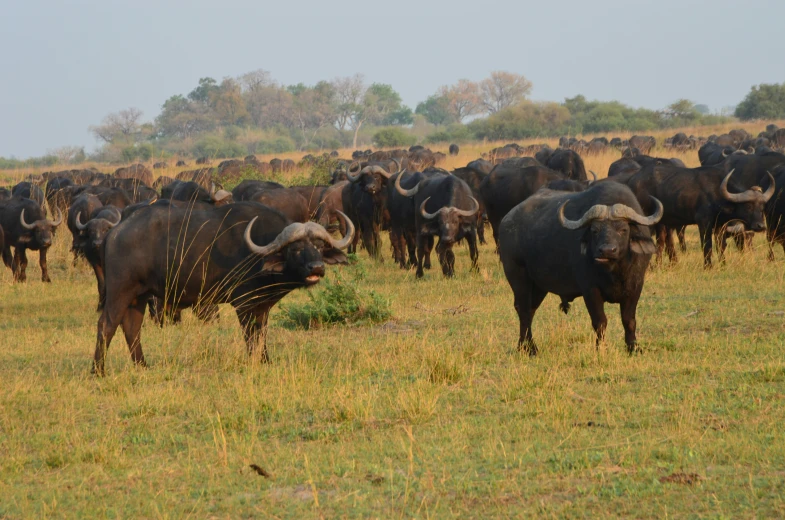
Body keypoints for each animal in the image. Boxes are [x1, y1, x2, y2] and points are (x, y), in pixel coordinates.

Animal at [90, 201, 354, 376]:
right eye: (296, 249)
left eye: (320, 246)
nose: (317, 267)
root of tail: (115, 231)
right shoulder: (244, 304)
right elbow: (251, 336)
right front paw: (254, 361)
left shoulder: (262, 306)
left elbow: (262, 334)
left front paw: (266, 361)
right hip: (120, 291)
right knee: (106, 325)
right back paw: (98, 371)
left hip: (139, 296)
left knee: (132, 327)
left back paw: (142, 366)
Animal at [624, 165, 772, 266]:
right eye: (748, 206)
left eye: (762, 207)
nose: (760, 226)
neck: (718, 195)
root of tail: (632, 180)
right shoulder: (704, 223)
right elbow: (707, 245)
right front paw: (708, 266)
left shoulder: (720, 225)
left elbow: (721, 245)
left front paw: (723, 264)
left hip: (662, 221)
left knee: (662, 240)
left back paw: (665, 264)